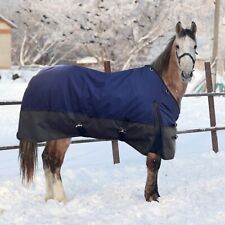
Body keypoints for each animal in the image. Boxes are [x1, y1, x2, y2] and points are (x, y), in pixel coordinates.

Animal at [17, 22, 197, 203]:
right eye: (177, 46)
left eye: (195, 46)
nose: (186, 73)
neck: (163, 86)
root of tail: (38, 77)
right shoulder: (156, 134)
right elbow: (153, 164)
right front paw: (151, 197)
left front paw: (155, 194)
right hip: (62, 134)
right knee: (54, 161)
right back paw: (61, 199)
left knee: (47, 159)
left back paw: (50, 198)